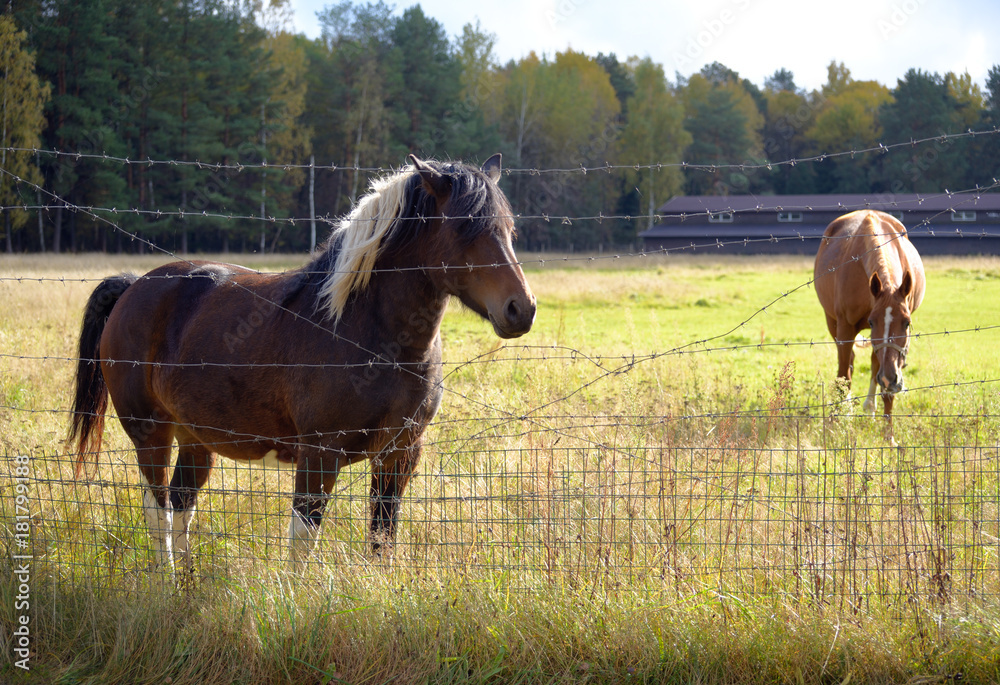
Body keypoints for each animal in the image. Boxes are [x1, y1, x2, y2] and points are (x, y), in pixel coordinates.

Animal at [68, 155, 540, 572]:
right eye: (464, 228)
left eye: (510, 229)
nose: (522, 309)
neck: (368, 332)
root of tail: (134, 287)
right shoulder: (319, 454)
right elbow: (302, 539)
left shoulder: (400, 453)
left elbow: (382, 535)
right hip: (150, 433)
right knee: (159, 513)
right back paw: (167, 584)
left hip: (196, 439)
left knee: (183, 506)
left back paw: (187, 584)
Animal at [816, 207, 924, 432]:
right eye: (872, 321)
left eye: (907, 323)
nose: (889, 378)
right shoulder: (845, 327)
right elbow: (843, 377)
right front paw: (836, 423)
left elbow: (885, 387)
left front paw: (888, 434)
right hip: (834, 324)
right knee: (850, 365)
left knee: (875, 365)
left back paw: (870, 407)